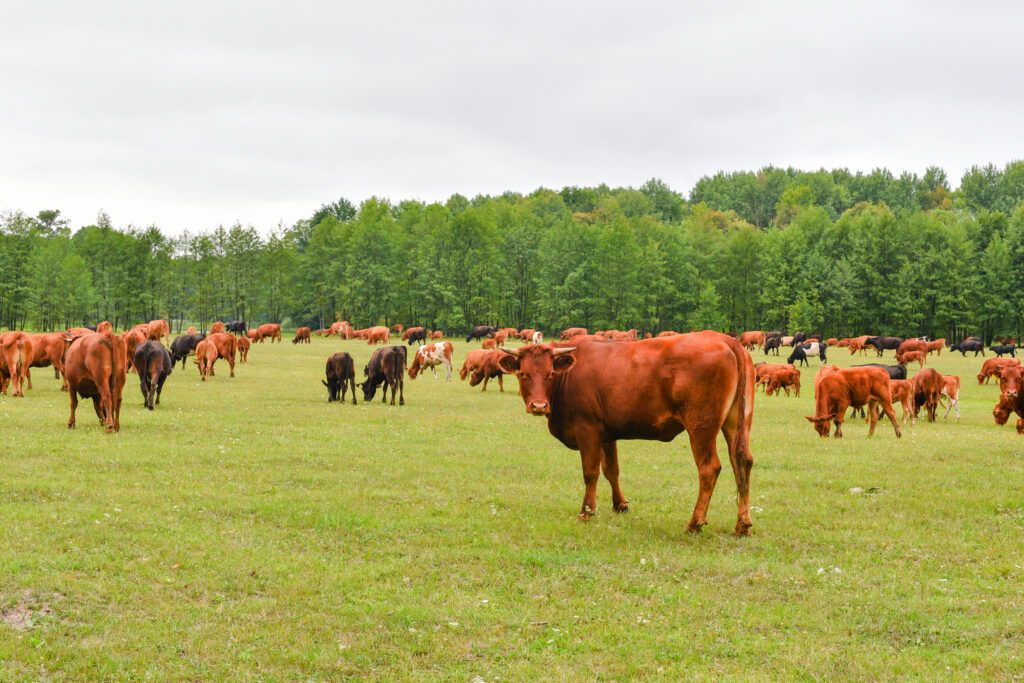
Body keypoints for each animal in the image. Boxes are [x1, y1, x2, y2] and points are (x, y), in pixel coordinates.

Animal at [495, 332, 755, 535]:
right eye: (523, 374)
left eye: (550, 374)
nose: (539, 406)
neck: (569, 375)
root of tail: (725, 339)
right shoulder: (606, 433)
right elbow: (612, 470)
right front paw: (620, 505)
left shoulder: (587, 429)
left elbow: (591, 472)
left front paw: (586, 511)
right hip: (736, 423)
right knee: (742, 462)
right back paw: (742, 524)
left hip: (701, 426)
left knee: (709, 468)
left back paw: (695, 522)